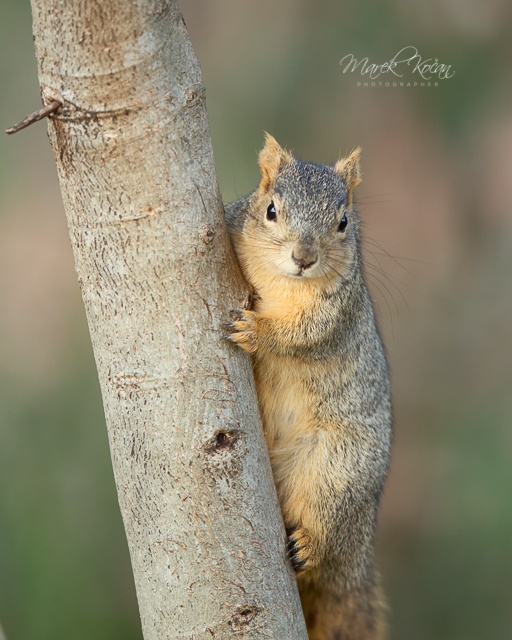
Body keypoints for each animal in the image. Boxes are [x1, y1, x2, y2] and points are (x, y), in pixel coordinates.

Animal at [224, 135, 392, 640]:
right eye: (270, 210)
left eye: (343, 222)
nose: (303, 258)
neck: (283, 283)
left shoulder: (335, 312)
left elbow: (302, 334)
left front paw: (258, 331)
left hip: (337, 472)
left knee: (326, 537)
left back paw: (310, 546)